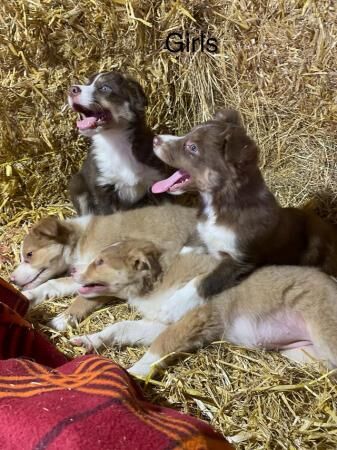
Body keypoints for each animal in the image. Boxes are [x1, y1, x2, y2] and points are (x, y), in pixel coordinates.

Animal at [9, 204, 197, 326]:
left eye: (29, 254)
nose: (11, 279)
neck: (80, 239)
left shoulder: (104, 277)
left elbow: (84, 298)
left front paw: (64, 318)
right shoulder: (82, 272)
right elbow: (54, 284)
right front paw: (28, 296)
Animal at [67, 71, 171, 215]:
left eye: (105, 88)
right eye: (87, 83)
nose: (71, 89)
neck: (116, 140)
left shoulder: (157, 180)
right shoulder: (103, 189)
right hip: (77, 184)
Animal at [69, 239, 336, 376]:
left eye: (100, 262)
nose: (72, 270)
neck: (159, 281)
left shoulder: (195, 318)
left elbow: (159, 347)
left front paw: (134, 374)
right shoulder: (163, 322)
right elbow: (122, 327)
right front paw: (90, 340)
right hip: (303, 354)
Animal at [151, 108, 336, 298]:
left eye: (192, 148)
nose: (155, 139)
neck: (219, 205)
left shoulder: (239, 262)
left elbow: (200, 284)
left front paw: (170, 303)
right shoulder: (202, 233)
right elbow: (183, 252)